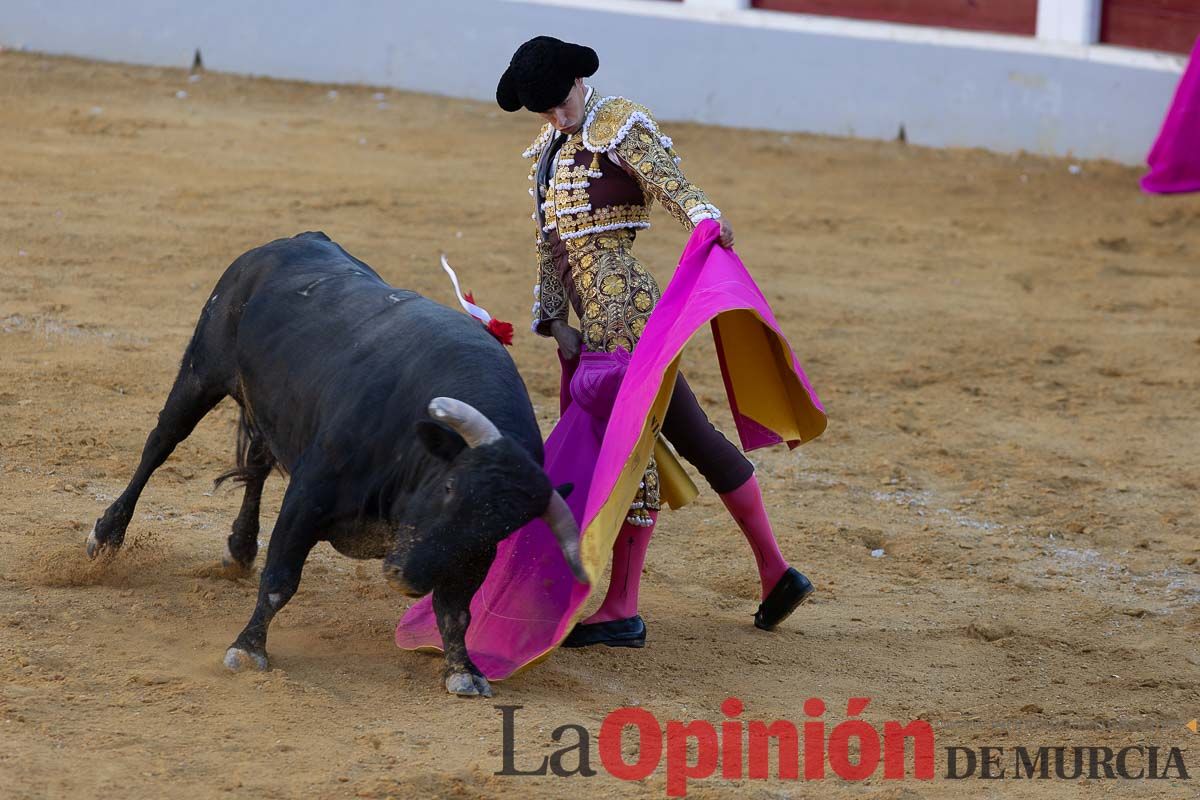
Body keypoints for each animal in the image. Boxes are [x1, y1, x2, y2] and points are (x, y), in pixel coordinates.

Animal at [87, 230, 583, 695]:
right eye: (449, 488)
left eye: (501, 527)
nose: (405, 577)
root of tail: (292, 241)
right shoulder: (309, 495)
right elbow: (280, 579)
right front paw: (247, 650)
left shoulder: (468, 556)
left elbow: (456, 611)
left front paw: (463, 672)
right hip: (200, 372)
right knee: (160, 444)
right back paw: (106, 535)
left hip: (272, 408)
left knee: (258, 464)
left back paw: (240, 549)